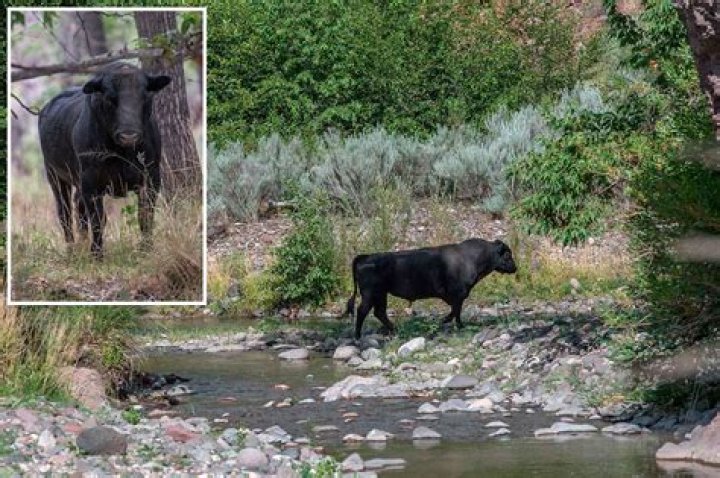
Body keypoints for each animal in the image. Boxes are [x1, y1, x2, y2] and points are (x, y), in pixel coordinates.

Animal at [38, 62, 171, 258]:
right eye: (109, 97)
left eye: (146, 95)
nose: (129, 136)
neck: (123, 152)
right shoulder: (91, 182)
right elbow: (98, 219)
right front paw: (97, 254)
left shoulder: (151, 176)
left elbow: (145, 215)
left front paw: (146, 249)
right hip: (55, 176)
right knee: (65, 213)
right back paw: (72, 249)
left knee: (78, 208)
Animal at [346, 238, 517, 339]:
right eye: (507, 254)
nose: (515, 268)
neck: (471, 258)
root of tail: (364, 257)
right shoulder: (458, 294)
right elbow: (456, 310)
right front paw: (450, 323)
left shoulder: (457, 296)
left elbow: (456, 310)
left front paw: (454, 324)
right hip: (370, 294)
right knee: (363, 311)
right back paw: (358, 336)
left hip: (381, 294)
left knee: (379, 312)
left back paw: (395, 329)